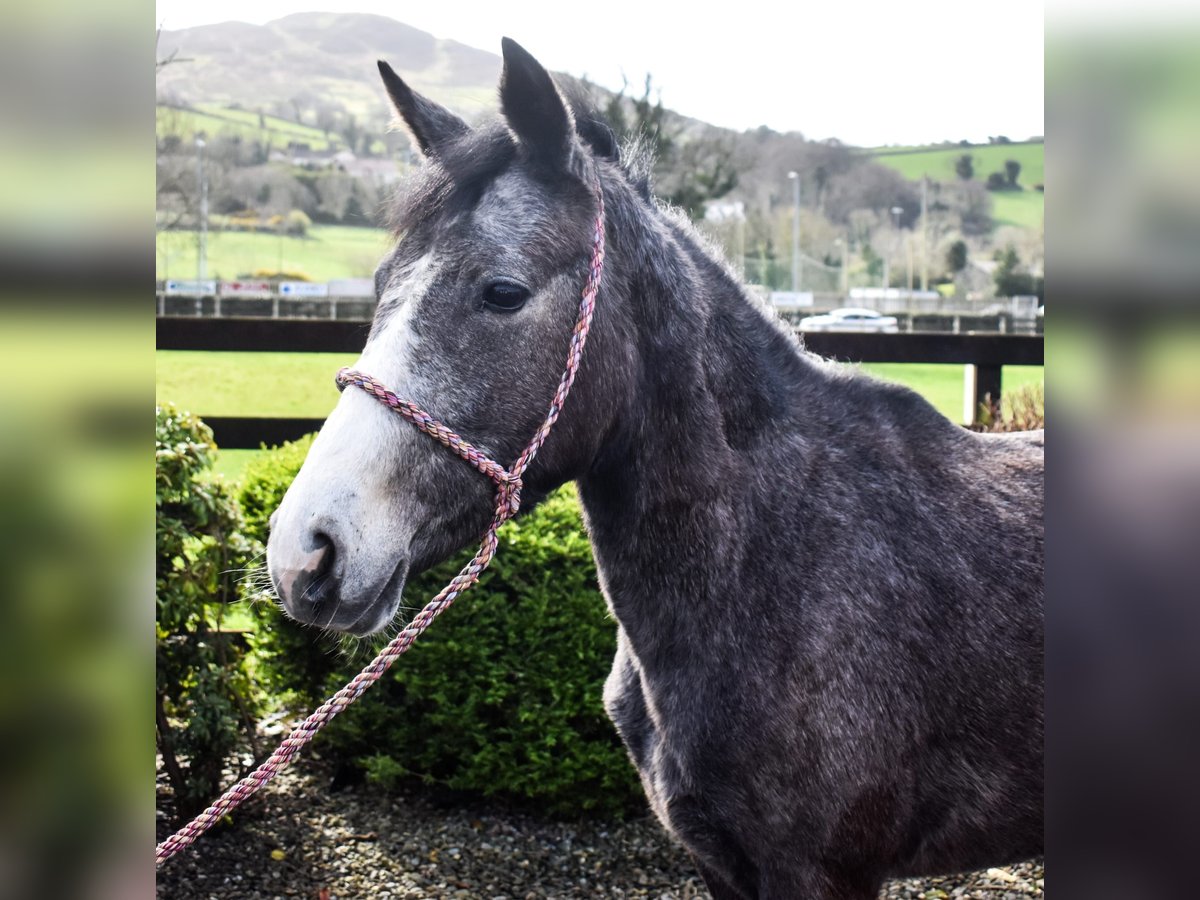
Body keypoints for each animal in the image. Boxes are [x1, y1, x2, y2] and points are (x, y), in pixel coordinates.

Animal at [265, 38, 1041, 897]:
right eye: (379, 287)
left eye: (502, 292)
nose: (307, 550)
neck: (782, 552)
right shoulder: (721, 863)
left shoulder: (821, 874)